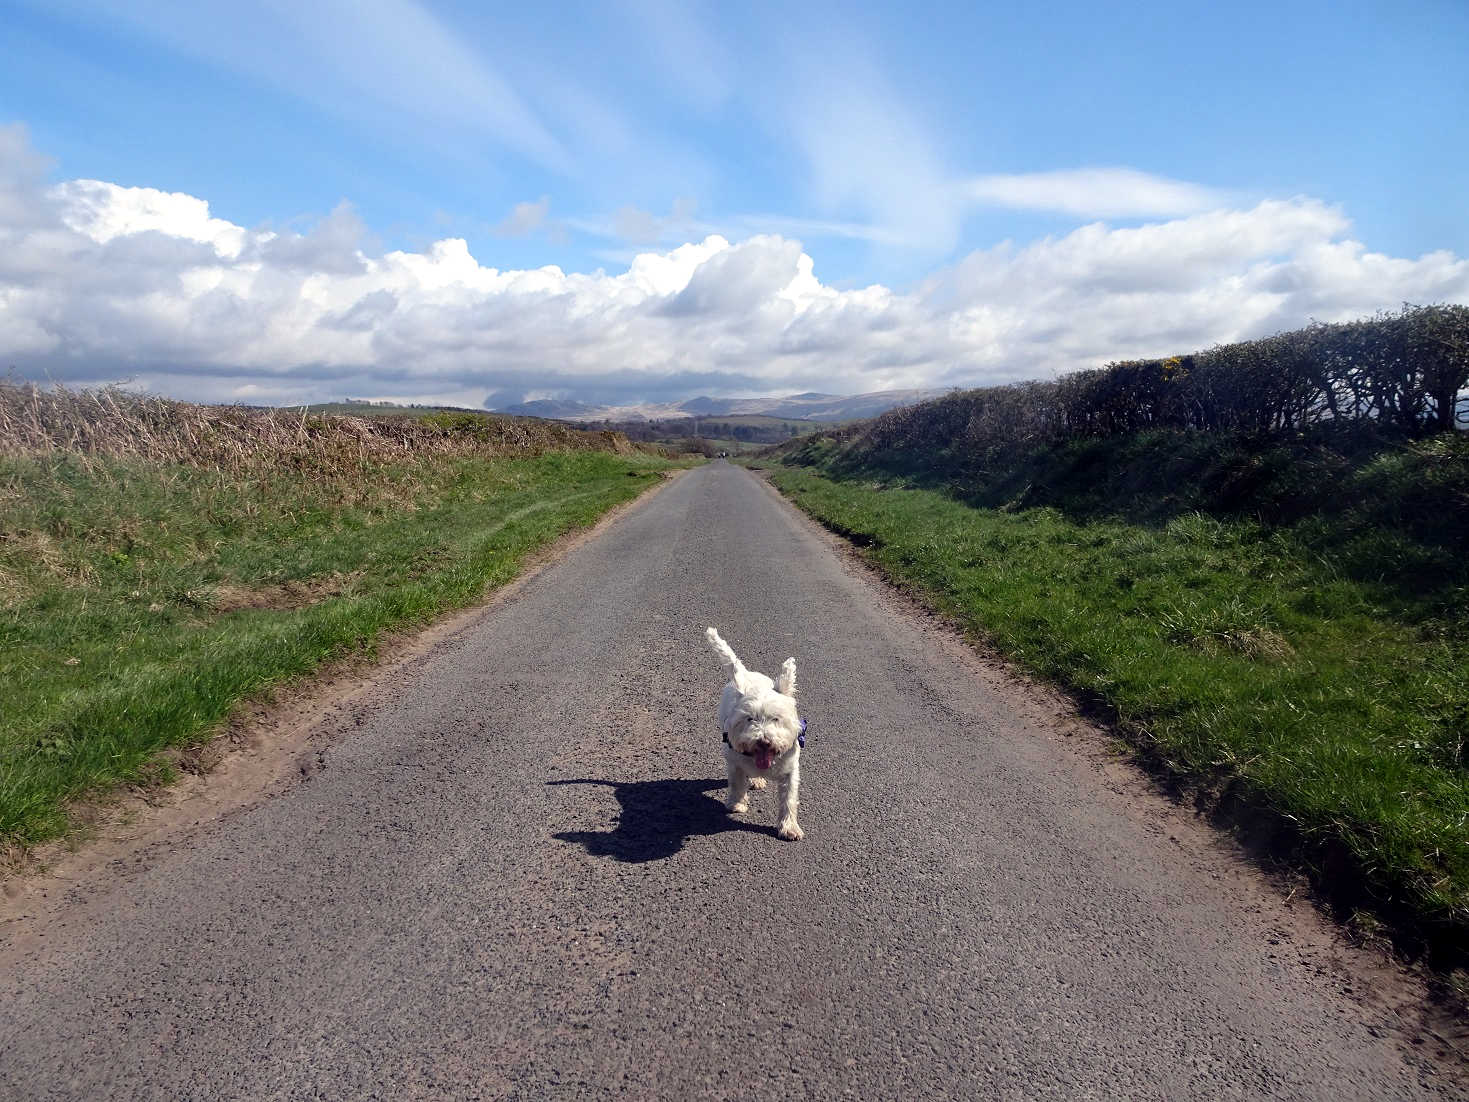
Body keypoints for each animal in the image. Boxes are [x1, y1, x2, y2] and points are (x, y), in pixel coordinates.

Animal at [708, 625, 810, 840]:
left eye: (776, 719)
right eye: (749, 719)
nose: (763, 741)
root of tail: (746, 674)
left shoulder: (791, 770)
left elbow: (789, 798)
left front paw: (789, 827)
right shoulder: (734, 760)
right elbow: (737, 782)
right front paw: (737, 803)